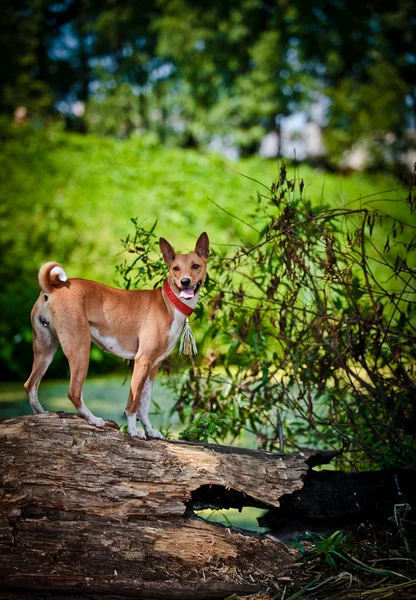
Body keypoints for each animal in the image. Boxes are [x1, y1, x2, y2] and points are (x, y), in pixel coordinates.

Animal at [24, 232, 210, 438]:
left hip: (45, 350)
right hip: (80, 349)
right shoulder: (142, 361)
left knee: (30, 385)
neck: (169, 304)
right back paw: (93, 419)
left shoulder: (154, 365)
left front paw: (150, 431)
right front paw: (134, 431)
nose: (185, 281)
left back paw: (41, 415)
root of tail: (52, 289)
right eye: (175, 268)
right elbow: (133, 404)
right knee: (73, 392)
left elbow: (144, 405)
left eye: (195, 266)